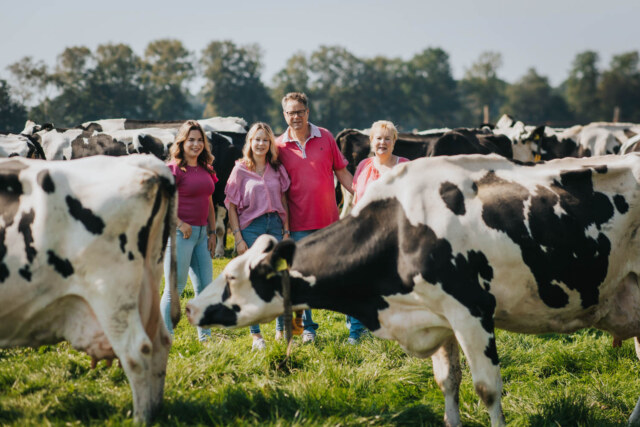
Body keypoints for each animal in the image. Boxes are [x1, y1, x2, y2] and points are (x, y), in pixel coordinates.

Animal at [0, 155, 180, 424]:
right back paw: (156, 410)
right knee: (160, 343)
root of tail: (142, 162)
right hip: (147, 283)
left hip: (111, 292)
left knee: (136, 351)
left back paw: (140, 419)